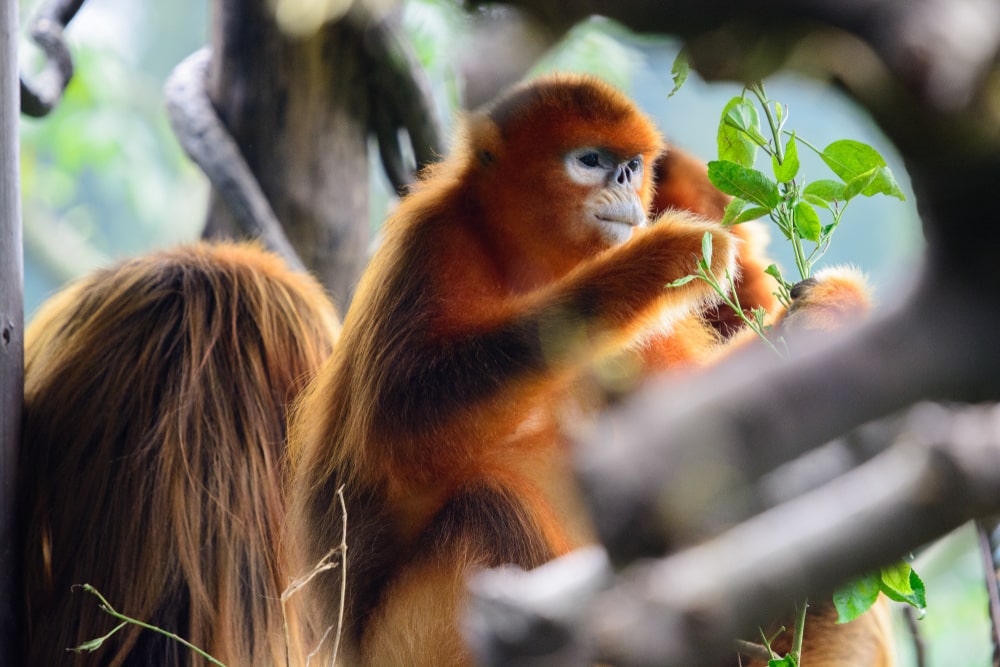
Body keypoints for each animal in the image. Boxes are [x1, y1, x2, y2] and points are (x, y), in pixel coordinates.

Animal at [285, 73, 886, 666]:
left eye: (633, 165)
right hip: (401, 643)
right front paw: (649, 262)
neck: (522, 268)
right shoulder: (432, 245)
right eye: (591, 160)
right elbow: (401, 424)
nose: (622, 181)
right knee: (488, 509)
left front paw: (829, 313)